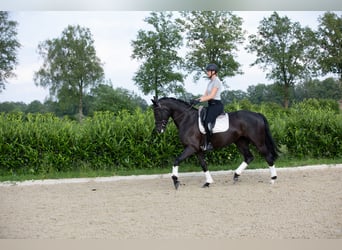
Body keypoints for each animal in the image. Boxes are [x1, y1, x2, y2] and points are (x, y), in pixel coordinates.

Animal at [151, 96, 280, 188]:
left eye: (157, 112)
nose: (158, 130)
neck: (187, 119)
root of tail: (257, 114)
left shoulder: (191, 148)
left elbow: (176, 160)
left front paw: (175, 181)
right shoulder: (198, 150)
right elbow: (204, 165)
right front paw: (208, 182)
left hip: (258, 142)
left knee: (268, 157)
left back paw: (272, 179)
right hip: (240, 142)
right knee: (249, 157)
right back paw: (236, 175)